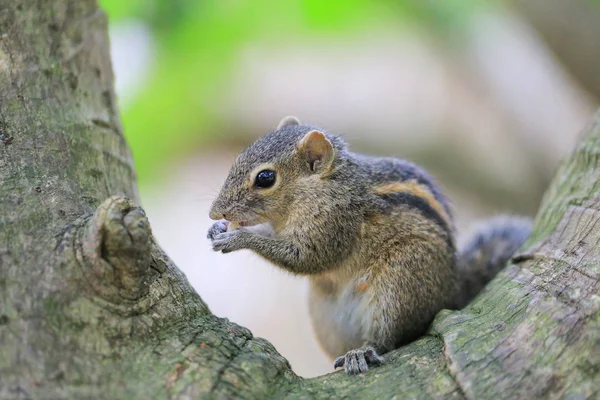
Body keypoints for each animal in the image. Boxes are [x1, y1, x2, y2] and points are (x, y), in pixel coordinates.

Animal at [209, 115, 532, 376]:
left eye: (265, 178)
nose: (215, 212)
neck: (323, 186)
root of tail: (452, 292)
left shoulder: (336, 223)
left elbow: (307, 258)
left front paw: (238, 237)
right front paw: (219, 229)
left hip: (400, 281)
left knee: (389, 338)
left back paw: (363, 351)